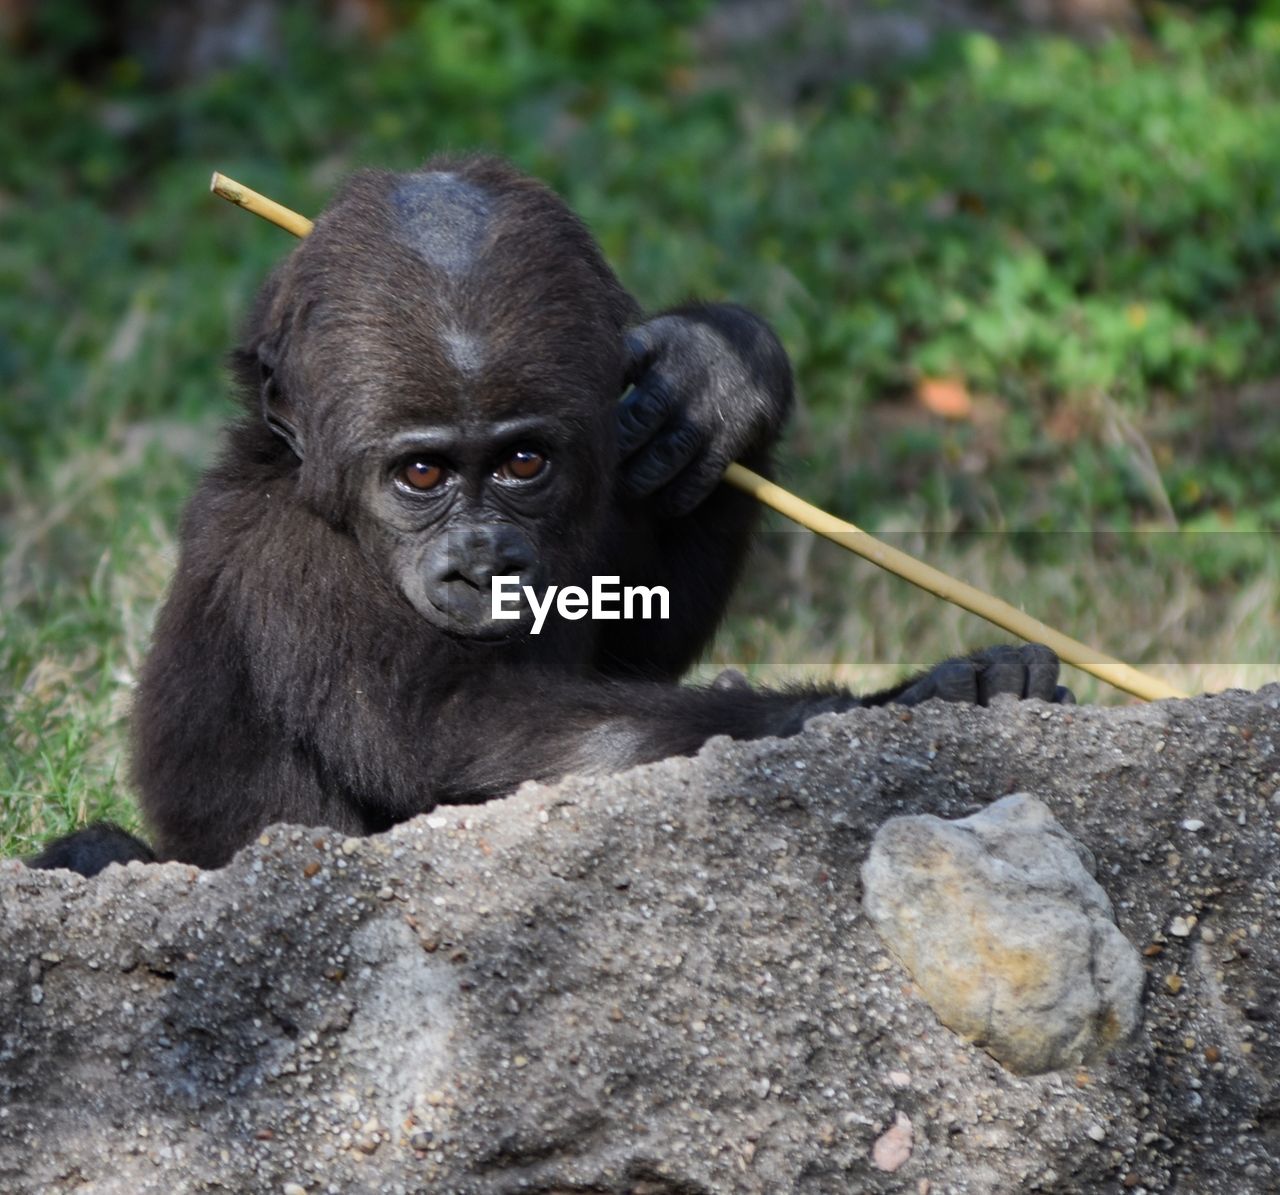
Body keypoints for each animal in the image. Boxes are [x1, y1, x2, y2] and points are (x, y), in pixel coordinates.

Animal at [27, 154, 1070, 875]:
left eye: (522, 462)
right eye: (420, 473)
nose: (483, 560)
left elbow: (633, 645)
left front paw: (721, 369)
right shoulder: (288, 565)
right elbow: (467, 735)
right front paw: (894, 703)